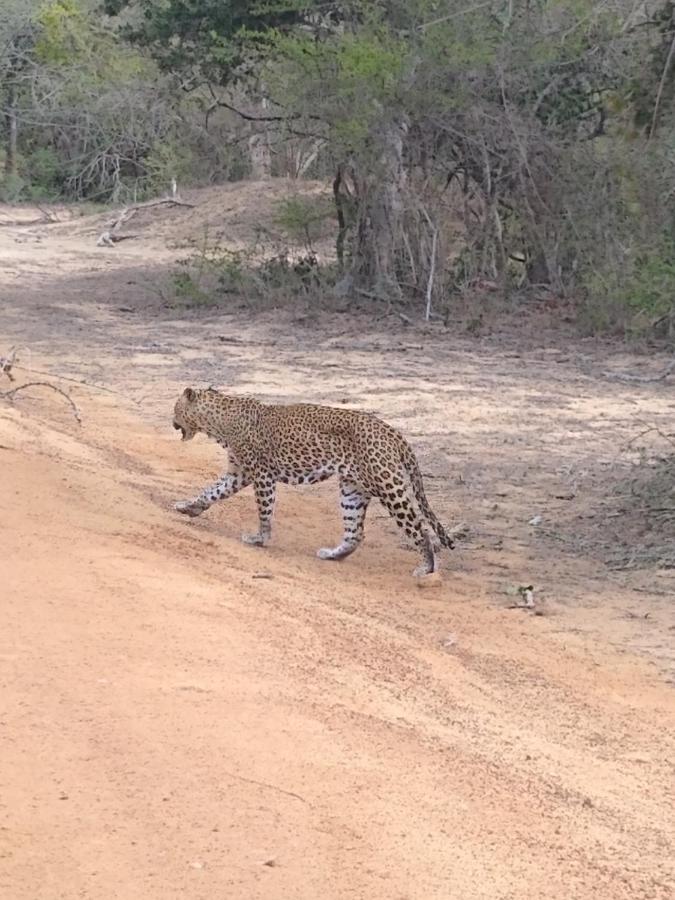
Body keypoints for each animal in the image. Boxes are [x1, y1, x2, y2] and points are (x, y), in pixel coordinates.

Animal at [172, 384, 456, 580]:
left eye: (175, 409)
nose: (172, 422)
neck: (218, 423)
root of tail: (392, 431)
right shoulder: (238, 473)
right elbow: (211, 491)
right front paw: (188, 507)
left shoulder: (261, 474)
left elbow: (264, 509)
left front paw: (260, 538)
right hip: (352, 489)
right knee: (355, 533)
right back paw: (332, 555)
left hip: (388, 487)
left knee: (419, 529)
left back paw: (426, 569)